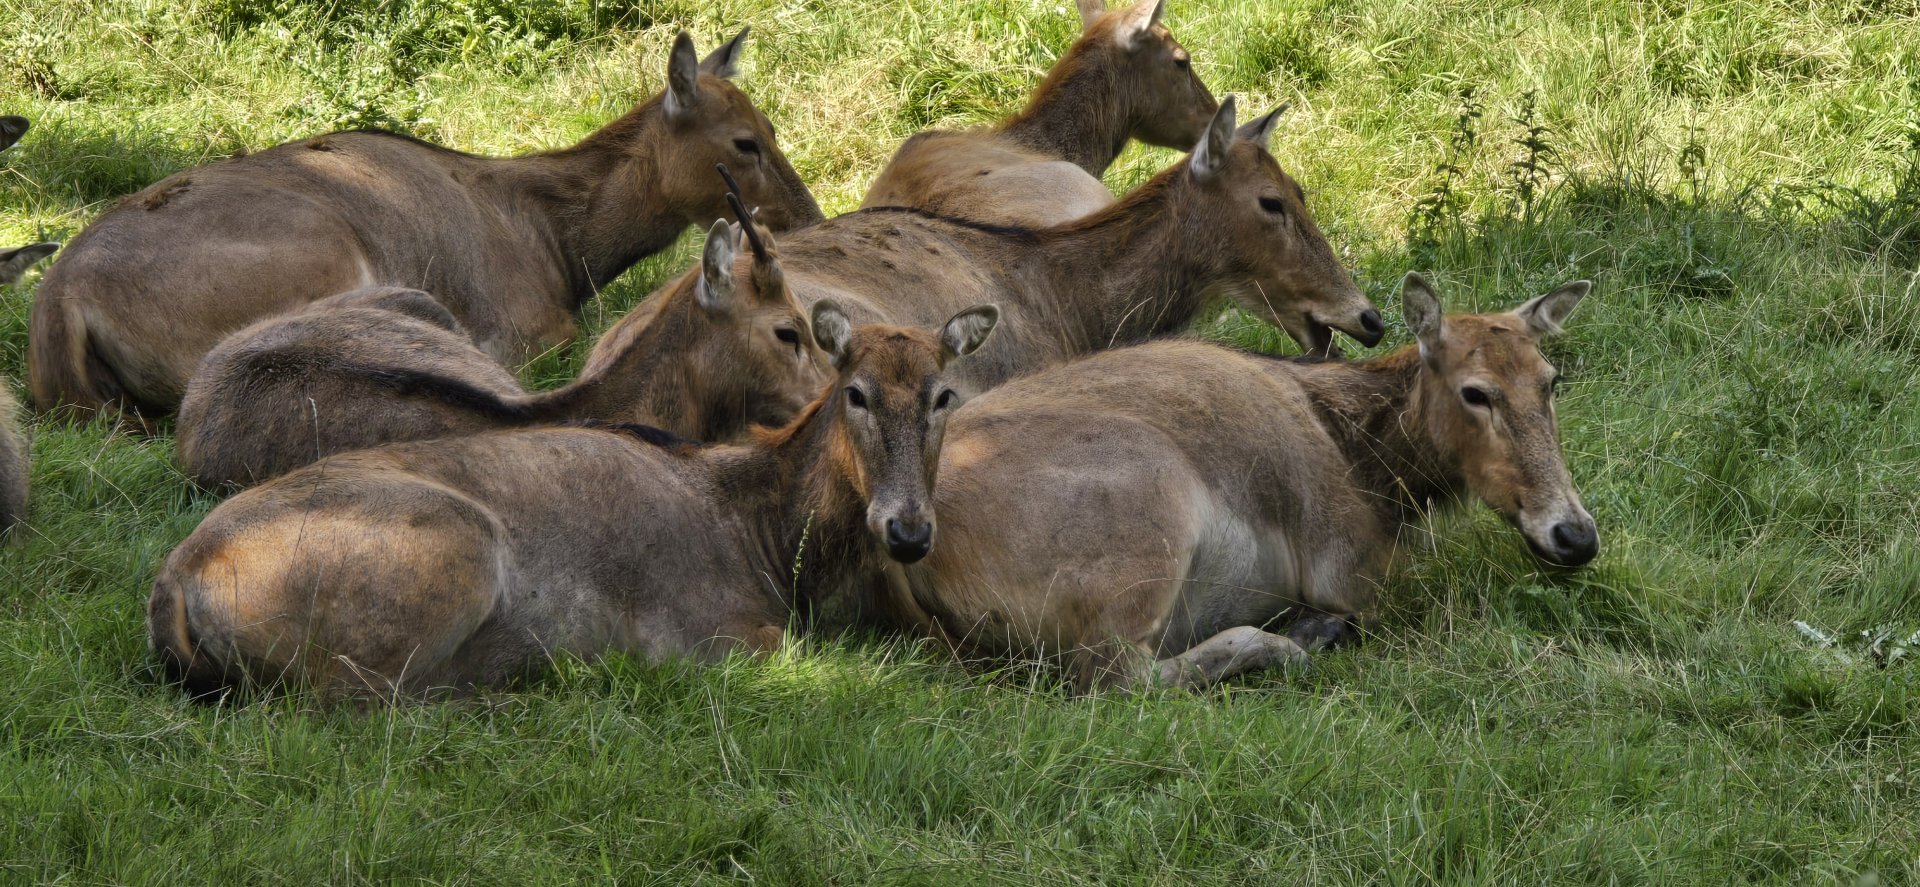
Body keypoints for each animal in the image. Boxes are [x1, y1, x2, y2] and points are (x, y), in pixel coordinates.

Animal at [29, 29, 822, 425]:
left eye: (774, 126)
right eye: (744, 142)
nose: (808, 217)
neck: (564, 244)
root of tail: (59, 302)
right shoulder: (528, 326)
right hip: (324, 258)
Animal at [147, 300, 1001, 702]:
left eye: (943, 395)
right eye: (856, 392)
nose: (908, 529)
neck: (763, 531)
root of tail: (175, 588)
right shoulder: (703, 630)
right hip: (448, 554)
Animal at [880, 273, 1600, 691]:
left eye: (1551, 379)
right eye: (1476, 392)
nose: (1574, 534)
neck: (1375, 463)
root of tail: (913, 552)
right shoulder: (1351, 568)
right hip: (1147, 526)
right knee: (1121, 677)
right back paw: (1295, 641)